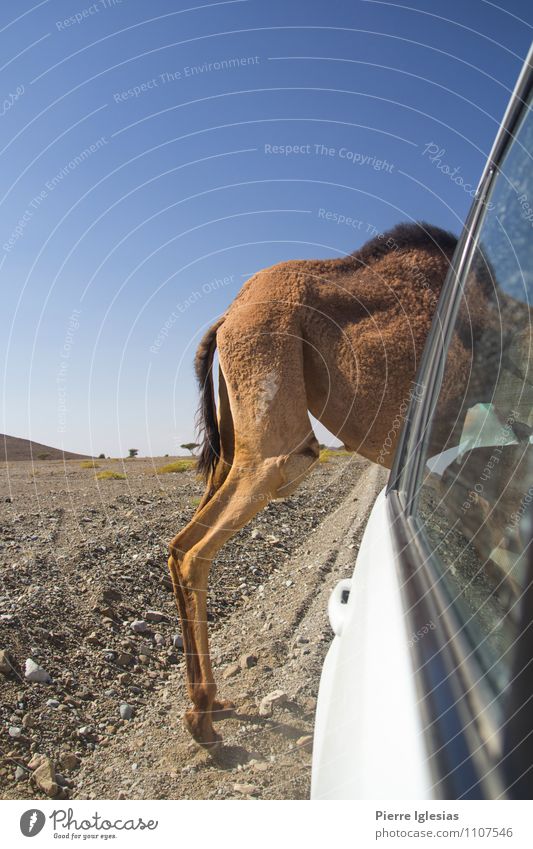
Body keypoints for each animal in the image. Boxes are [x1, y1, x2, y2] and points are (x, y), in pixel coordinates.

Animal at [167, 220, 458, 748]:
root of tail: (228, 316)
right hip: (273, 414)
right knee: (197, 549)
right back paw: (202, 717)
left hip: (233, 432)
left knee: (180, 544)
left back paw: (210, 704)